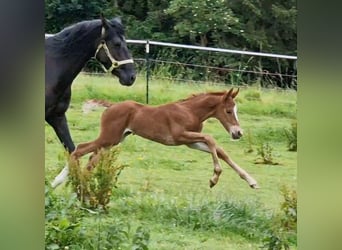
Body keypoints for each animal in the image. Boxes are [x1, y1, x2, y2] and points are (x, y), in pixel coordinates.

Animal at [52, 88, 258, 188]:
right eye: (229, 111)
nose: (238, 133)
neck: (190, 111)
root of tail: (111, 106)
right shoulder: (180, 135)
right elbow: (211, 139)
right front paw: (214, 178)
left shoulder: (190, 142)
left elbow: (220, 150)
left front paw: (251, 181)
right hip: (108, 138)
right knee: (80, 149)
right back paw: (58, 181)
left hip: (114, 140)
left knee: (91, 159)